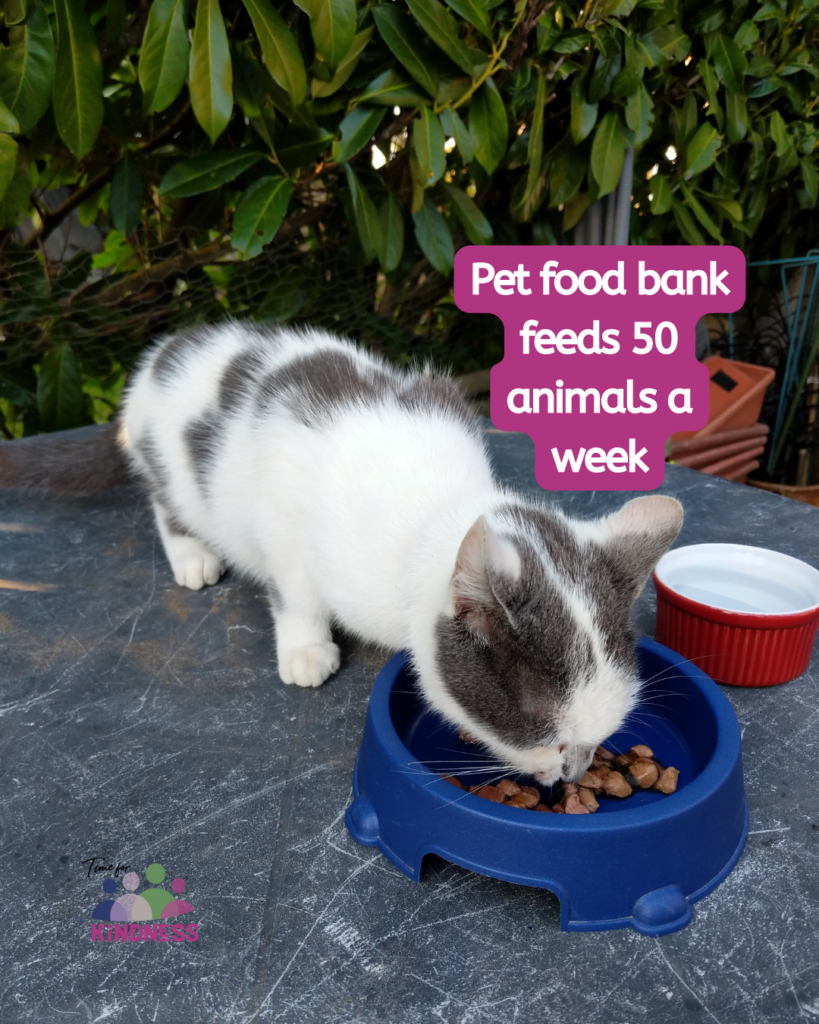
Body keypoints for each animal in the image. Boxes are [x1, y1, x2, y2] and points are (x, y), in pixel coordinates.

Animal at [108, 323, 679, 786]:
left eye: (596, 741)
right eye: (550, 738)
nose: (573, 774)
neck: (436, 510)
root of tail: (167, 348)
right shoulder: (281, 516)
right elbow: (295, 589)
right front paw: (305, 648)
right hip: (173, 467)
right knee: (164, 499)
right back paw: (192, 556)